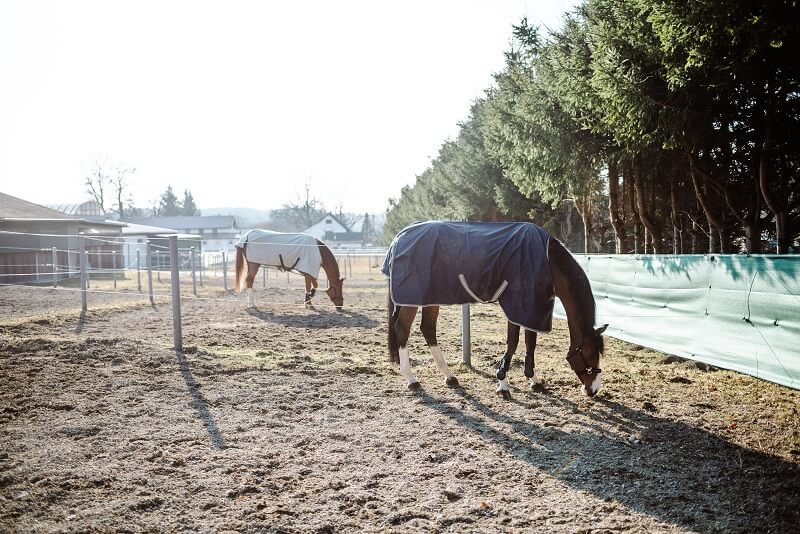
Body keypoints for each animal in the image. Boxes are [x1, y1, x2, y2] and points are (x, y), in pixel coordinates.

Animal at [382, 221, 608, 398]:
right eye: (590, 354)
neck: (546, 260)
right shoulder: (518, 306)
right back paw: (412, 379)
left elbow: (530, 343)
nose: (594, 390)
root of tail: (399, 238)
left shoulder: (532, 308)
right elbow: (513, 343)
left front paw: (534, 381)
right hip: (412, 300)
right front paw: (503, 385)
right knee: (403, 329)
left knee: (428, 329)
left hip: (431, 298)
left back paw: (449, 376)